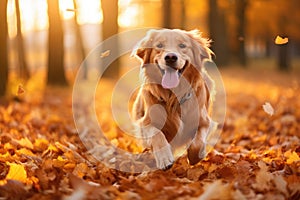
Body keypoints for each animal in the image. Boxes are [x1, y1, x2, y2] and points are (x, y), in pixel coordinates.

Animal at [130, 28, 217, 170]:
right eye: (159, 45)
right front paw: (165, 158)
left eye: (182, 45)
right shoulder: (145, 123)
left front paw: (195, 156)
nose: (170, 57)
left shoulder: (205, 121)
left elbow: (198, 141)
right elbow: (157, 134)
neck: (173, 97)